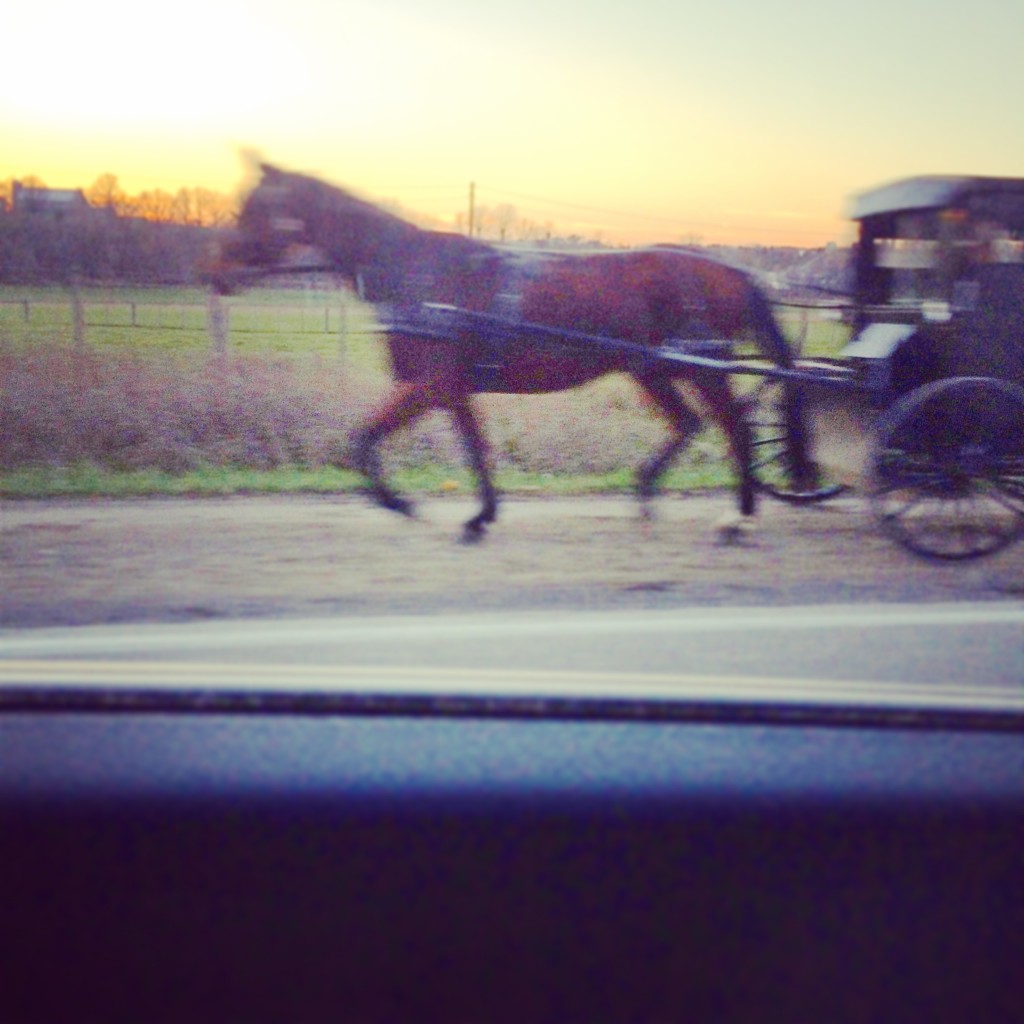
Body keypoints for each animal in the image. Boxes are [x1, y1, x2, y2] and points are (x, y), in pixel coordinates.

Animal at [218, 163, 798, 540]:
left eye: (256, 209)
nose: (217, 266)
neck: (419, 271)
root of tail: (733, 273)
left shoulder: (429, 386)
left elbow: (365, 440)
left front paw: (402, 503)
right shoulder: (450, 390)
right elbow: (475, 448)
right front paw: (482, 515)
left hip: (701, 369)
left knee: (734, 427)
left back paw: (739, 515)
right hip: (650, 369)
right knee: (689, 424)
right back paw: (647, 492)